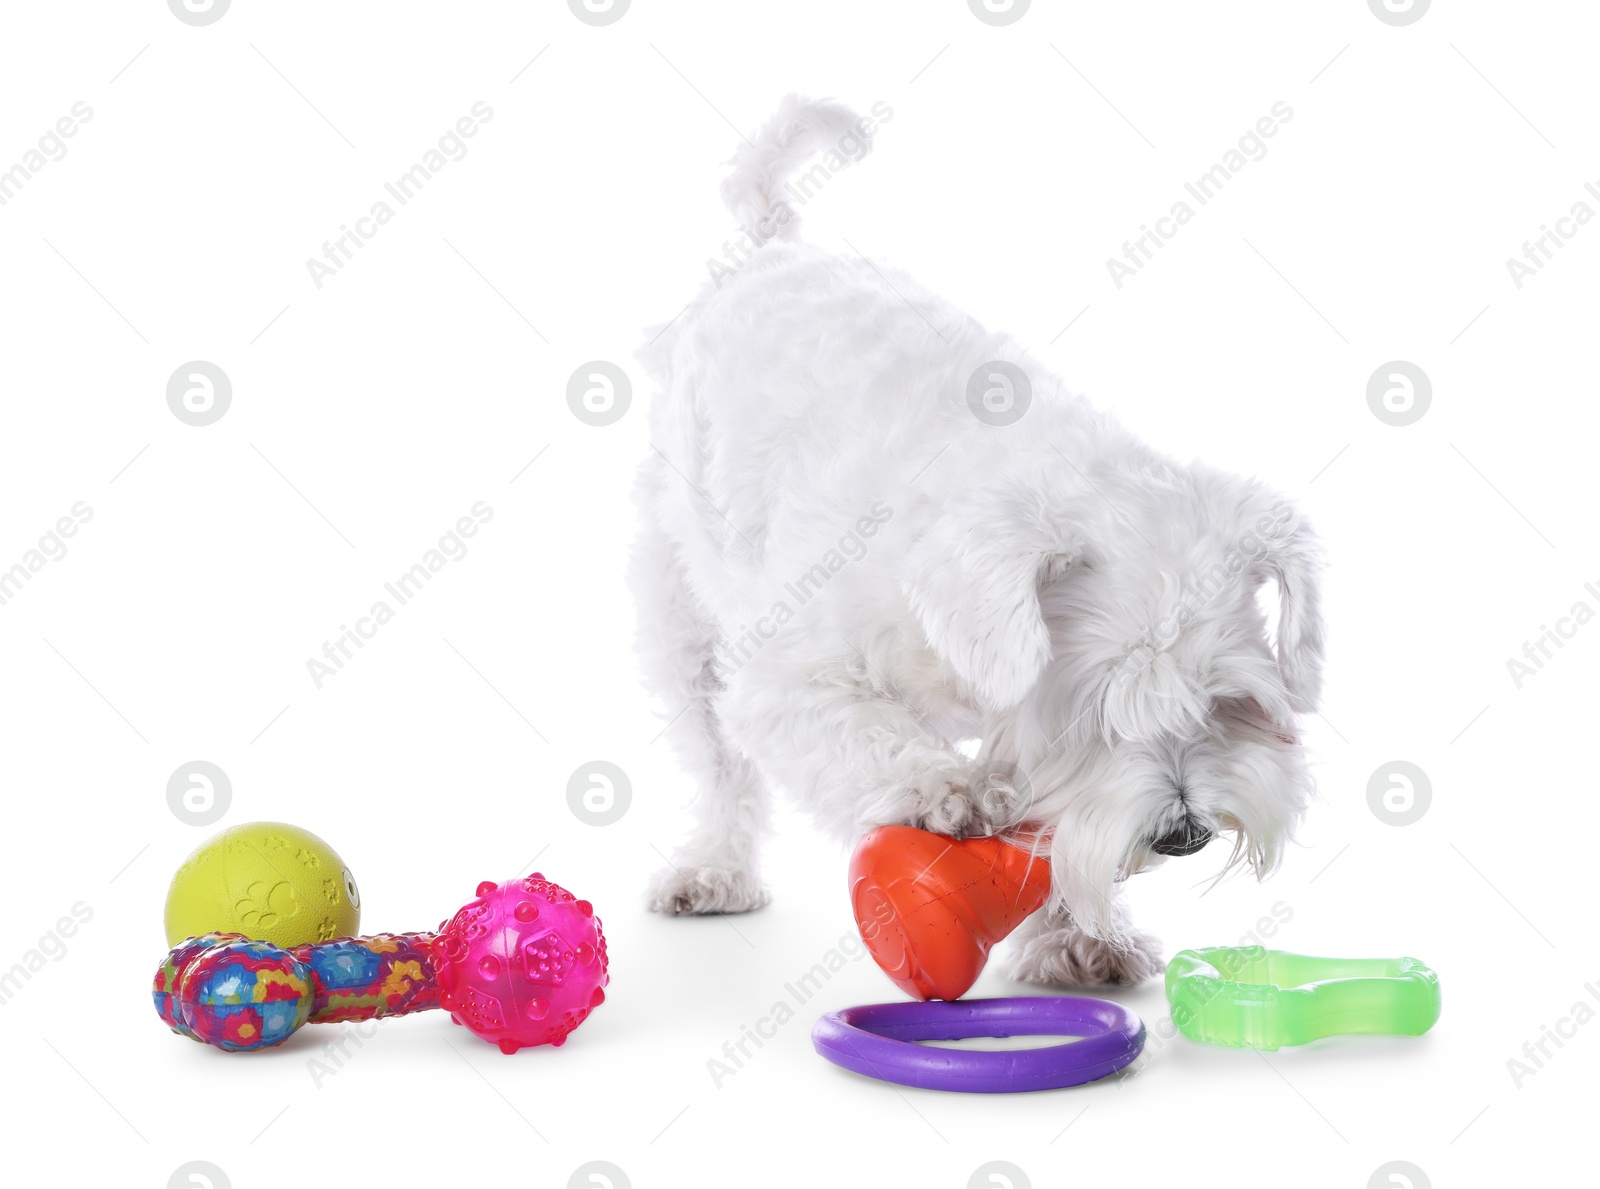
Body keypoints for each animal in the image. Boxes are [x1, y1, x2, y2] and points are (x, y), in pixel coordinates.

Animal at [627, 95, 1324, 985]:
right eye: (1095, 714)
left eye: (1227, 702)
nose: (1185, 833)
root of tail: (772, 248)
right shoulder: (790, 678)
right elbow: (870, 735)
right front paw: (945, 789)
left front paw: (1077, 938)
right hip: (681, 619)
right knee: (719, 765)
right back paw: (715, 868)